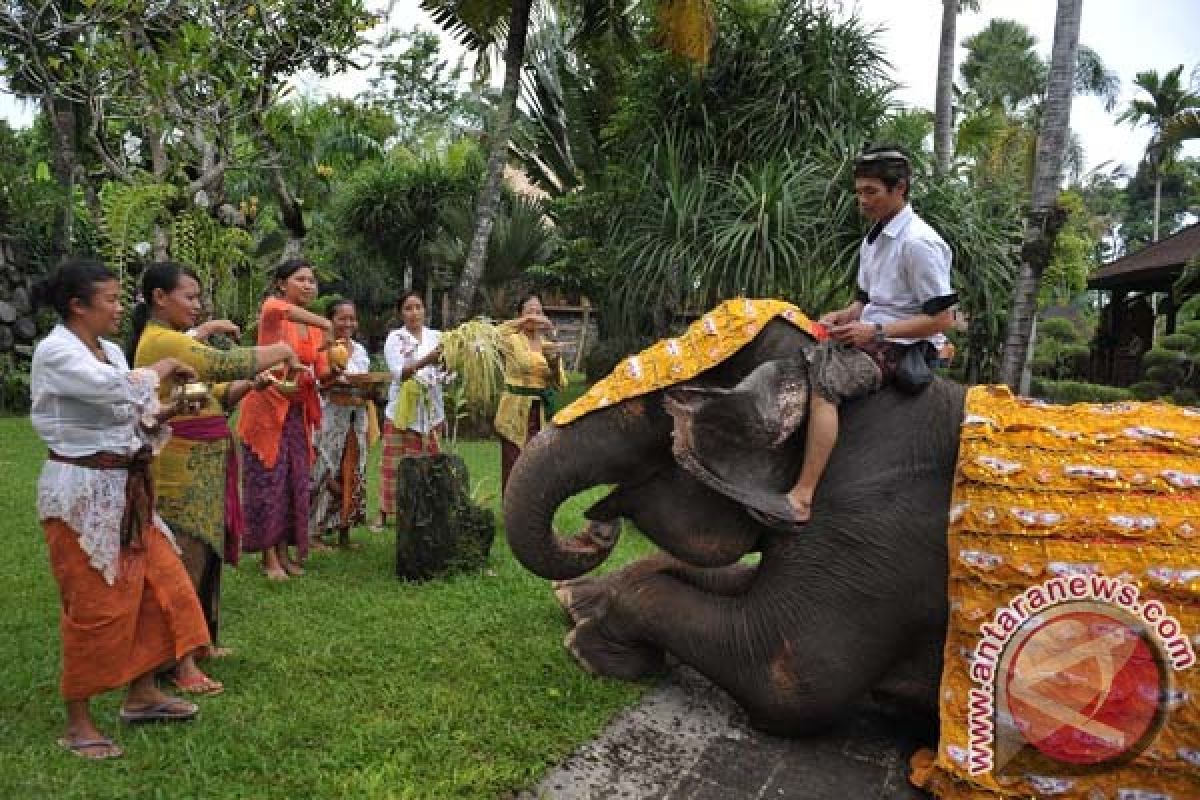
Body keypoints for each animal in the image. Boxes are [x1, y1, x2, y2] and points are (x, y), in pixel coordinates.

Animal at [504, 316, 964, 738]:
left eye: (655, 408)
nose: (597, 529)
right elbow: (734, 576)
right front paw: (576, 598)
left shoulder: (878, 527)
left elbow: (789, 680)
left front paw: (593, 648)